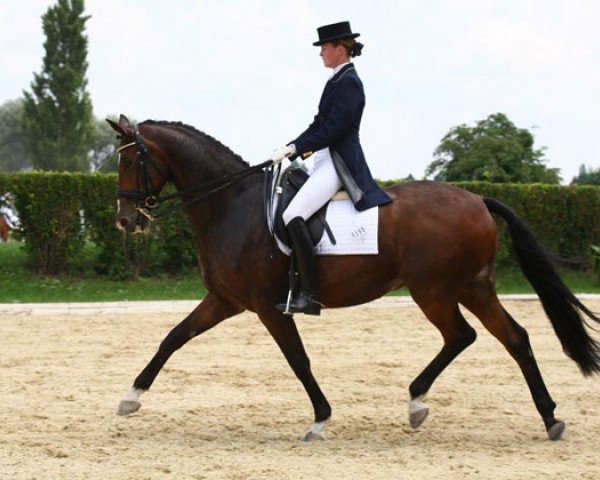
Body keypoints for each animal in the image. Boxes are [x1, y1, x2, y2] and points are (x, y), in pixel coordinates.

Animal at [109, 113, 600, 442]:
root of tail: (478, 200)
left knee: (463, 335)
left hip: (434, 290)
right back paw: (549, 417)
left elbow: (298, 360)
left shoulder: (269, 307)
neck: (232, 204)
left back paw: (418, 401)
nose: (124, 221)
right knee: (513, 338)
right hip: (472, 287)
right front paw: (131, 397)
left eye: (131, 162)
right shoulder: (225, 300)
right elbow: (173, 338)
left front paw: (320, 419)